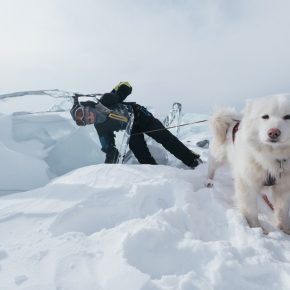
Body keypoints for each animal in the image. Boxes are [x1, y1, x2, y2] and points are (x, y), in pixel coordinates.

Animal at [208, 94, 290, 234]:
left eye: (288, 117)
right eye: (265, 116)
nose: (273, 132)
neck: (272, 157)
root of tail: (231, 121)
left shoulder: (283, 187)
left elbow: (282, 211)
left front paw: (285, 229)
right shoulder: (247, 183)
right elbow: (250, 211)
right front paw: (257, 230)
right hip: (218, 156)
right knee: (211, 167)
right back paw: (208, 181)